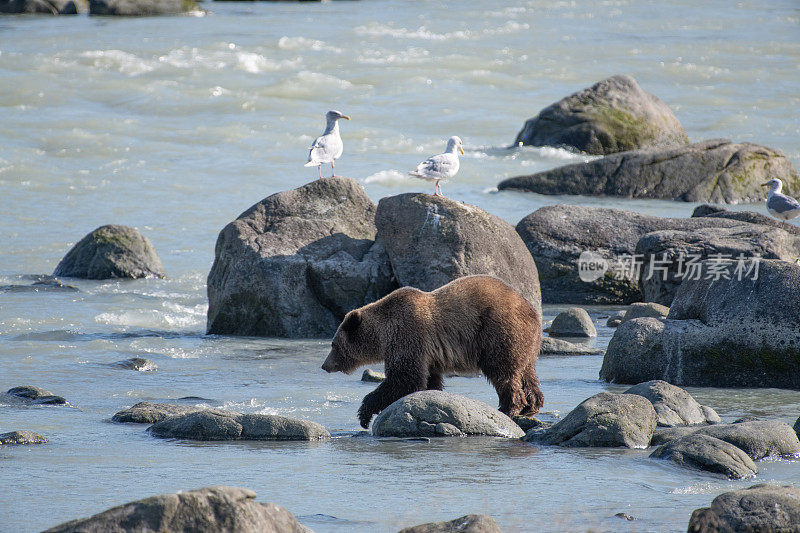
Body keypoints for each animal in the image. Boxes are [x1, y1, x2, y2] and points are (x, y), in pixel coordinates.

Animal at [320, 274, 544, 428]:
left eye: (334, 345)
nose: (324, 365)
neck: (383, 334)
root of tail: (531, 309)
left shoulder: (408, 335)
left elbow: (405, 378)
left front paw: (364, 414)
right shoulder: (430, 355)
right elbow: (428, 380)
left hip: (499, 331)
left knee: (503, 371)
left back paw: (508, 408)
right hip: (528, 343)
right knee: (527, 372)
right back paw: (531, 406)